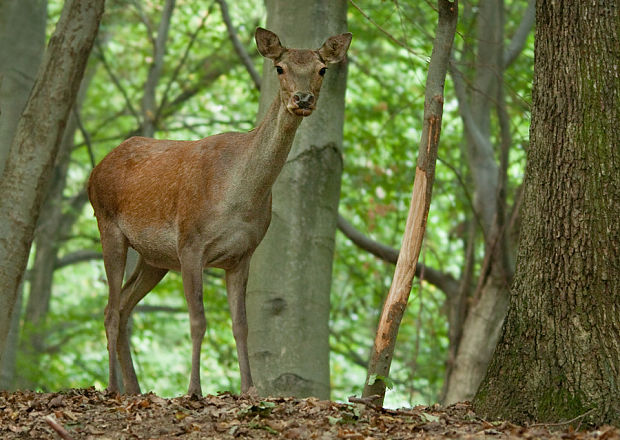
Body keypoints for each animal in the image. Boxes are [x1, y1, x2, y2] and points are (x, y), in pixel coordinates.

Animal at [86, 28, 352, 398]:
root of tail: (95, 171)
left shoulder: (242, 254)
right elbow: (198, 320)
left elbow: (241, 325)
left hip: (155, 258)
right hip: (108, 223)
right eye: (280, 67)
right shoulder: (190, 243)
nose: (303, 99)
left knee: (124, 304)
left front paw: (249, 389)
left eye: (322, 69)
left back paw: (136, 389)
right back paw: (112, 387)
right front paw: (194, 389)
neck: (237, 199)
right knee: (111, 308)